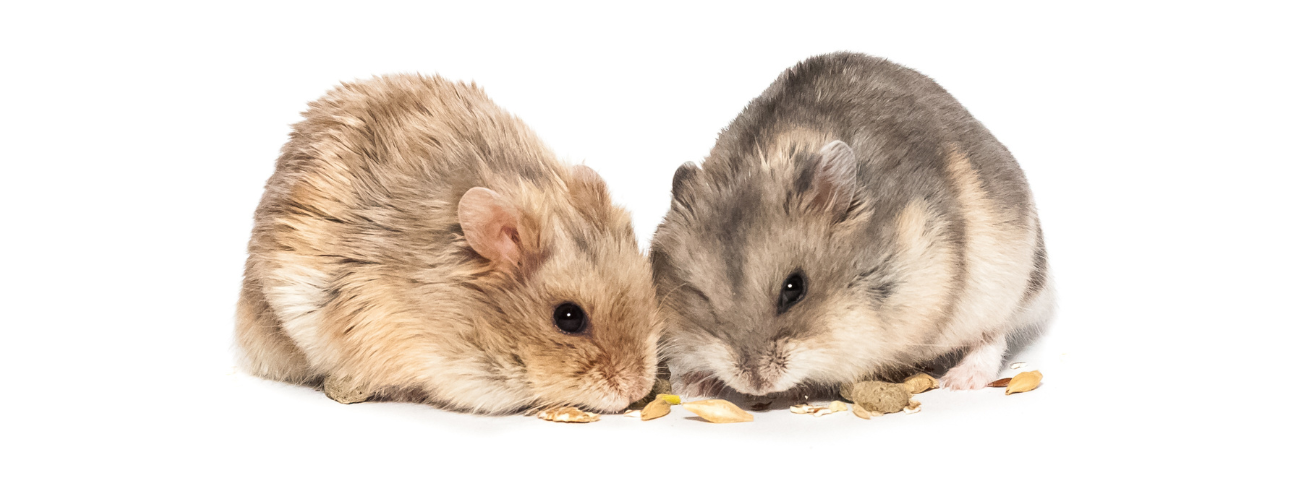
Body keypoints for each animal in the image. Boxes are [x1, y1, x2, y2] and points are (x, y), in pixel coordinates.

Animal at [650, 53, 1054, 397]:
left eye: (794, 288)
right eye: (700, 297)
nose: (756, 385)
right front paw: (692, 384)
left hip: (1005, 283)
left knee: (994, 334)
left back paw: (959, 381)